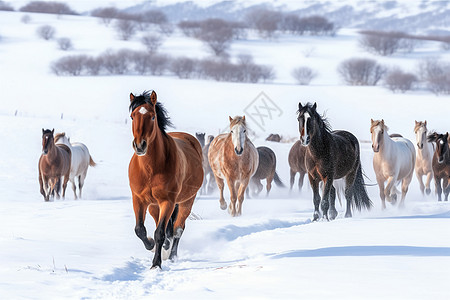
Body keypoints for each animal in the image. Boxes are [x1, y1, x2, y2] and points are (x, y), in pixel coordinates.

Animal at [127, 91, 203, 270]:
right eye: (132, 116)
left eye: (153, 116)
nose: (140, 145)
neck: (150, 169)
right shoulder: (139, 199)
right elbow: (140, 229)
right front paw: (151, 244)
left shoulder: (168, 201)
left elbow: (160, 233)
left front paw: (156, 264)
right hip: (154, 206)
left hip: (186, 201)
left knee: (177, 229)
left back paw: (172, 255)